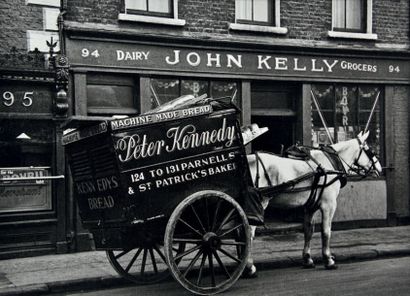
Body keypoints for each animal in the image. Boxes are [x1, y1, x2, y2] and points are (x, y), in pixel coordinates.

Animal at [243, 131, 382, 276]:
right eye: (370, 151)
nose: (380, 169)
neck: (330, 163)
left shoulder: (310, 206)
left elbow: (308, 231)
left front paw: (307, 259)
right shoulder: (329, 205)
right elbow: (326, 232)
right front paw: (328, 260)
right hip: (259, 203)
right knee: (249, 232)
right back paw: (249, 267)